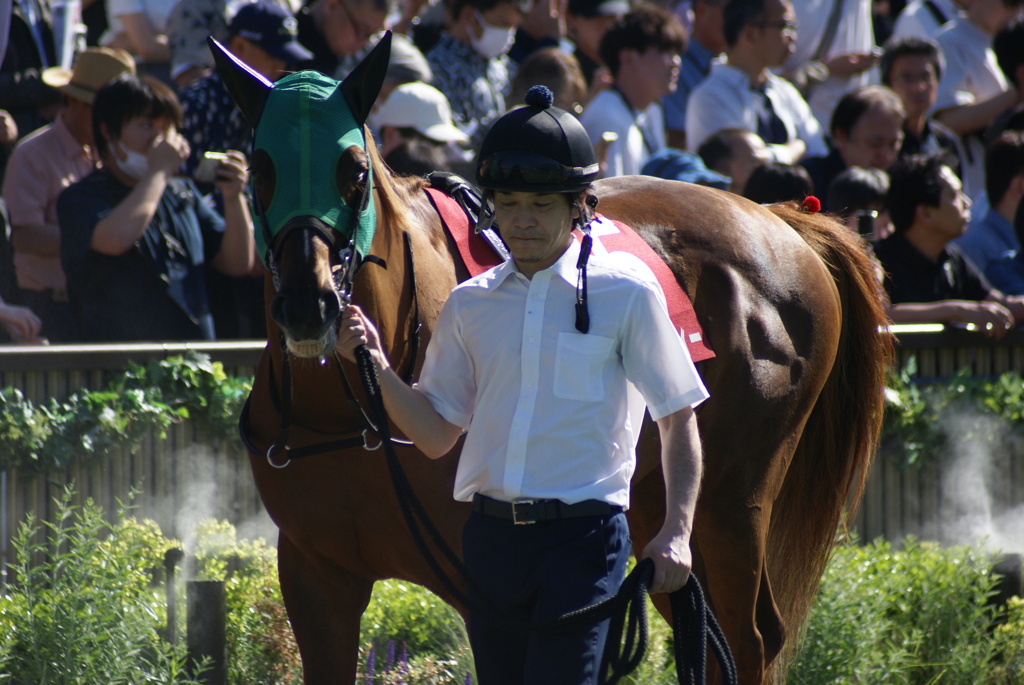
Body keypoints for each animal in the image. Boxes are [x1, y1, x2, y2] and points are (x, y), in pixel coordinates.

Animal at [214, 34, 888, 683]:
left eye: (352, 170)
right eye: (261, 170)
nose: (310, 306)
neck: (356, 416)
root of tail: (782, 221)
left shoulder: (485, 589)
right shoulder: (317, 577)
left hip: (730, 504)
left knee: (749, 643)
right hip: (660, 515)